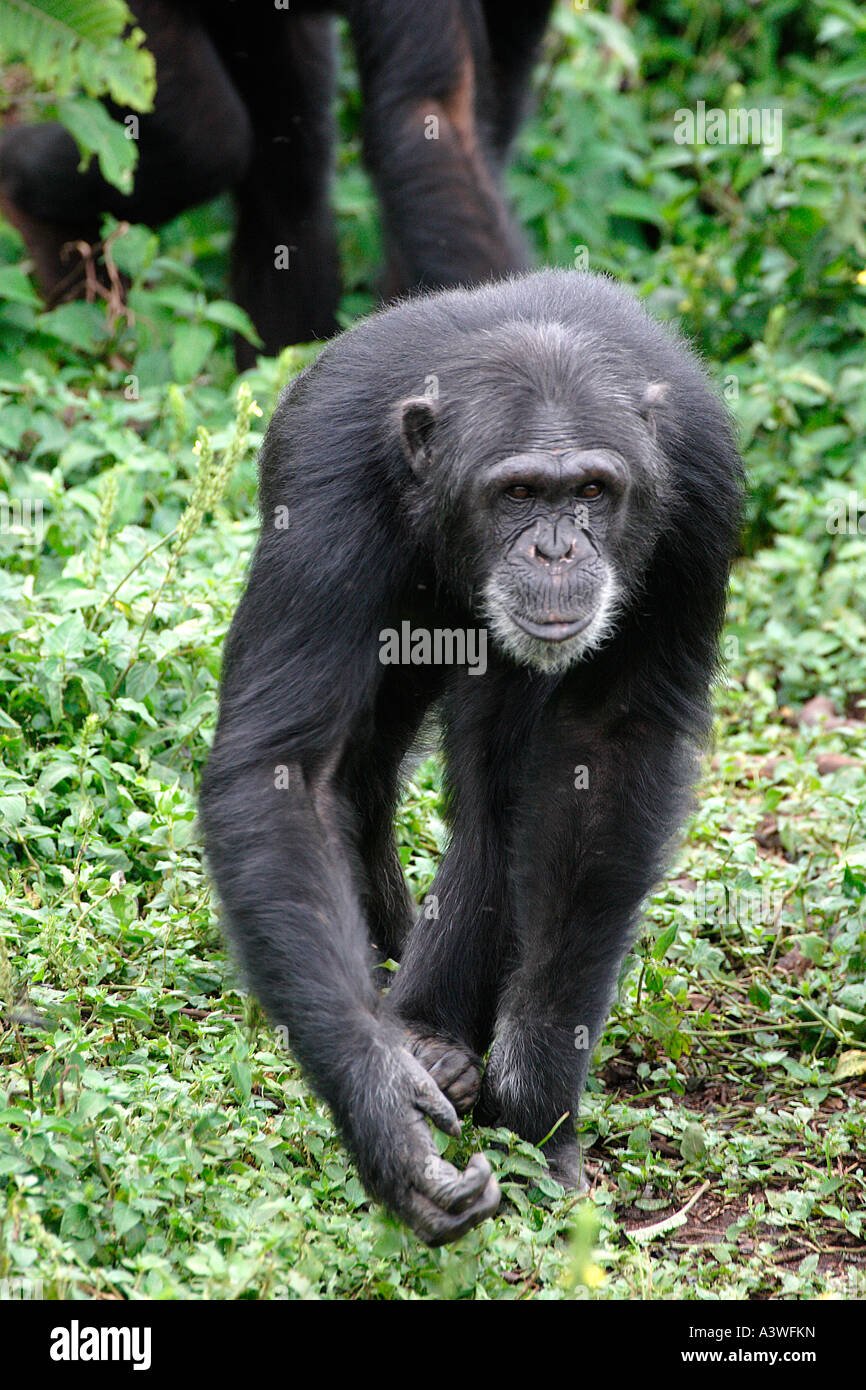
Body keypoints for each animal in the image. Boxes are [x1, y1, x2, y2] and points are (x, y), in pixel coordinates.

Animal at [198, 265, 745, 1245]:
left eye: (593, 491)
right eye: (519, 493)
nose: (558, 548)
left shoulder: (698, 491)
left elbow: (607, 749)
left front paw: (536, 1104)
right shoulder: (325, 491)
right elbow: (287, 768)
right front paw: (385, 1115)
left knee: (497, 798)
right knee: (372, 770)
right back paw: (420, 1036)